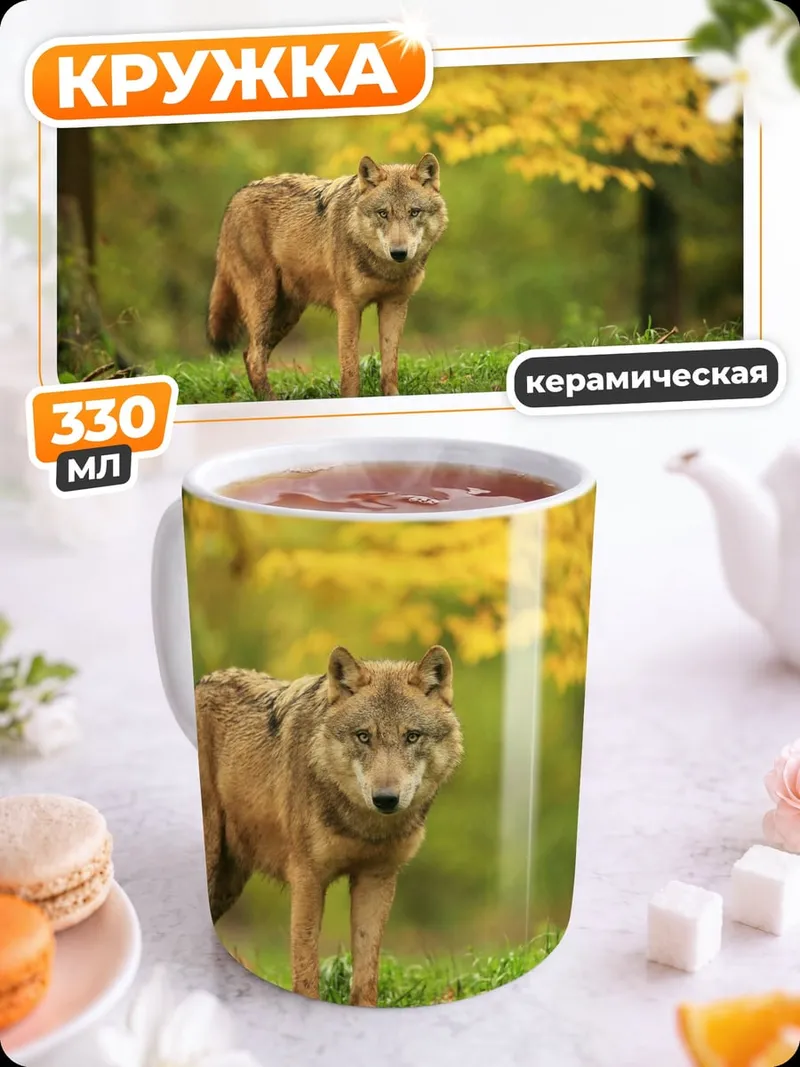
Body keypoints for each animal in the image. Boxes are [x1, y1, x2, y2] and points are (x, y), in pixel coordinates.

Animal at [195, 645, 462, 1007]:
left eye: (411, 737)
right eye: (363, 737)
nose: (386, 799)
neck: (365, 827)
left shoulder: (376, 879)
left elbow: (366, 974)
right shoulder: (308, 878)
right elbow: (306, 969)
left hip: (227, 883)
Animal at [206, 154, 448, 401]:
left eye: (414, 212)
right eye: (383, 213)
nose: (398, 253)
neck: (385, 270)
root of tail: (235, 198)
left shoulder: (394, 305)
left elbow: (390, 369)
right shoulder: (348, 307)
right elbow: (350, 372)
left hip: (287, 315)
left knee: (250, 354)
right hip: (265, 301)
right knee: (255, 356)